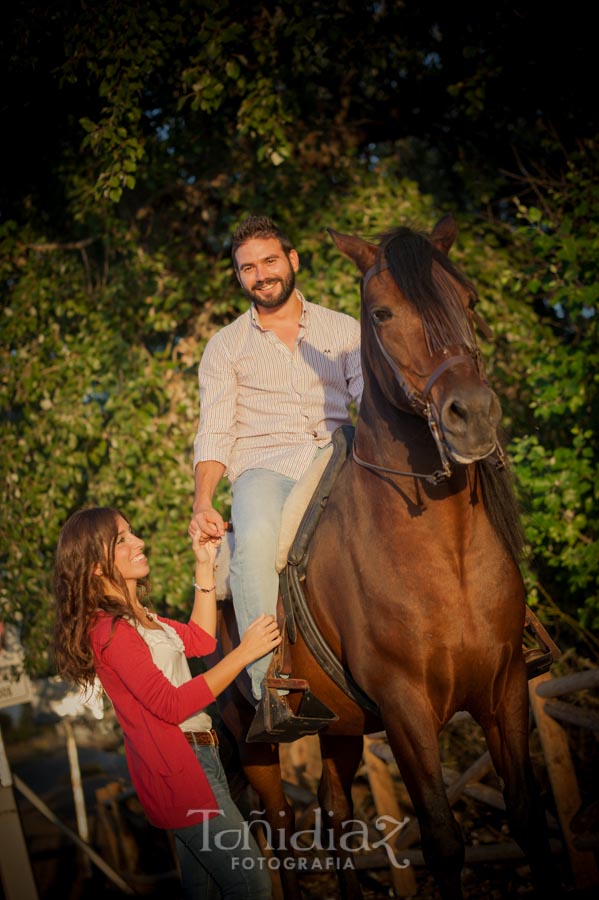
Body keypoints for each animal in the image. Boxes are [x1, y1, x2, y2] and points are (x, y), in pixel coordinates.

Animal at [217, 218, 564, 900]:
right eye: (381, 313)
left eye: (469, 300)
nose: (472, 414)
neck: (444, 556)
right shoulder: (406, 709)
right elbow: (443, 840)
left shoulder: (506, 686)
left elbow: (529, 819)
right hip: (256, 744)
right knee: (281, 826)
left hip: (341, 728)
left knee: (335, 813)